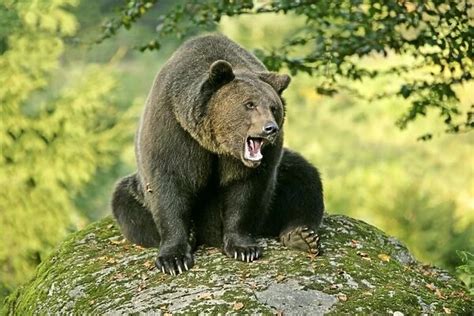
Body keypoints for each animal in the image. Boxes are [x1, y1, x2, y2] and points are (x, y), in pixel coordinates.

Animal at [113, 34, 324, 274]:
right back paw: (192, 234)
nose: (270, 129)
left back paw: (301, 236)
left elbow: (245, 192)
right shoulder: (174, 131)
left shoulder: (256, 162)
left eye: (274, 107)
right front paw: (174, 259)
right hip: (135, 192)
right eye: (249, 104)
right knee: (127, 205)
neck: (215, 144)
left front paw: (244, 248)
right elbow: (168, 186)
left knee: (303, 178)